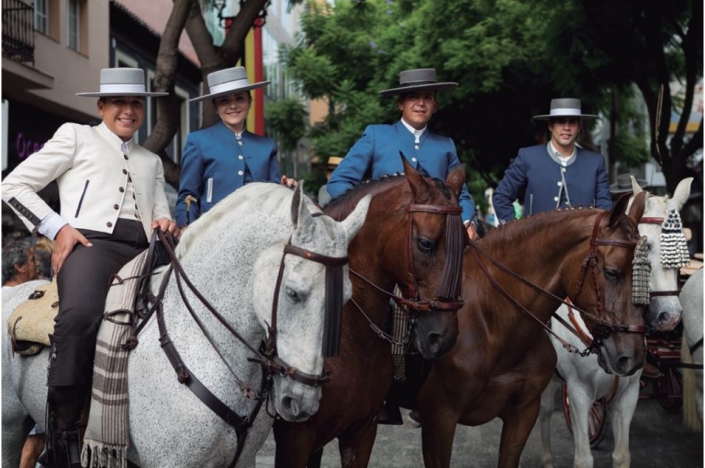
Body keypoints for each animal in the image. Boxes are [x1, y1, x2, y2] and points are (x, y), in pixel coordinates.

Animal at [404, 191, 648, 468]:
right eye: (611, 272)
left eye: (647, 271)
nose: (633, 358)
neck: (492, 323)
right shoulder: (440, 419)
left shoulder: (524, 412)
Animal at [540, 177, 692, 468]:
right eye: (646, 246)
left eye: (681, 251)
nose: (671, 316)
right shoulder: (578, 393)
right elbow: (583, 457)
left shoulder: (628, 394)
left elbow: (622, 455)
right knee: (543, 412)